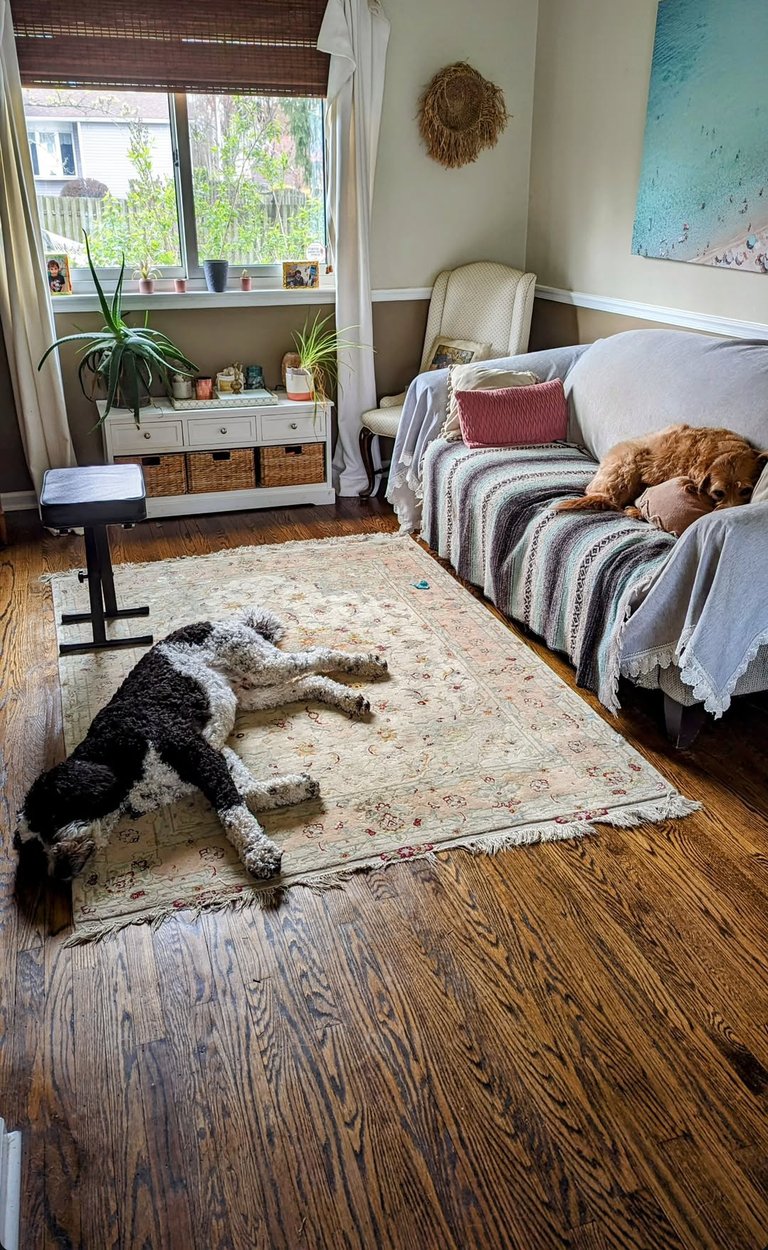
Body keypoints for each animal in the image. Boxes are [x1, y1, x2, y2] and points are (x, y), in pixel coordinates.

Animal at [14, 608, 388, 883]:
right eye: (35, 850)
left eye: (51, 819)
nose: (58, 875)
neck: (116, 757)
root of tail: (221, 621)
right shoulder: (214, 752)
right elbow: (248, 793)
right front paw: (292, 788)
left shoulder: (195, 754)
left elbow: (232, 813)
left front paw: (258, 854)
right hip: (251, 693)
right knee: (309, 682)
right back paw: (349, 698)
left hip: (261, 665)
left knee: (315, 656)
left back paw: (364, 663)